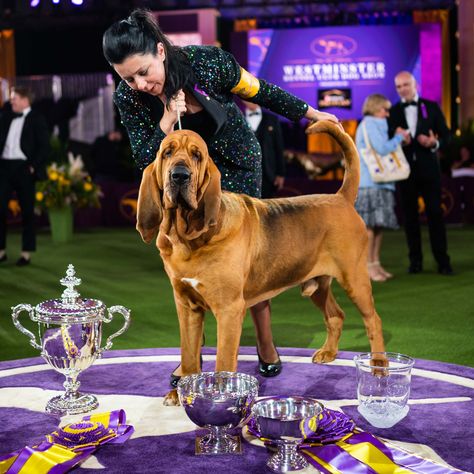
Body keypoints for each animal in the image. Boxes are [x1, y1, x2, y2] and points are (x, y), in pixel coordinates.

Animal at [136, 121, 386, 404]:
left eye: (197, 155)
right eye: (167, 153)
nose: (179, 175)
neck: (187, 238)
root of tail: (341, 197)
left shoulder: (229, 310)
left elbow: (223, 360)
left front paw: (221, 398)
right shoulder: (186, 306)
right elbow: (189, 354)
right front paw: (180, 394)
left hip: (355, 279)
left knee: (373, 320)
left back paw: (379, 365)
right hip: (318, 286)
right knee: (336, 315)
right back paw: (328, 353)